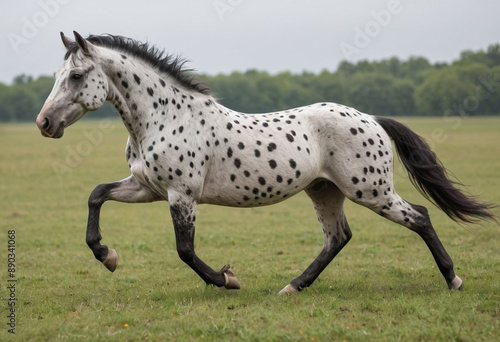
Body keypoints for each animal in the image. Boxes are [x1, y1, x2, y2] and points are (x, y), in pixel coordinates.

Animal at [35, 31, 492, 294]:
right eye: (58, 75)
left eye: (76, 76)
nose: (44, 123)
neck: (162, 117)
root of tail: (372, 119)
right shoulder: (147, 188)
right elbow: (97, 195)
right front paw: (106, 255)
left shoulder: (181, 194)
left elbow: (185, 250)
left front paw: (227, 280)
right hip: (325, 191)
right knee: (338, 237)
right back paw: (293, 287)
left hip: (370, 190)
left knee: (420, 216)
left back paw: (453, 280)